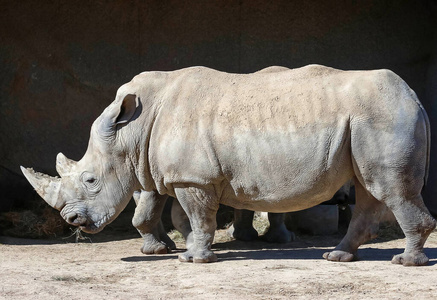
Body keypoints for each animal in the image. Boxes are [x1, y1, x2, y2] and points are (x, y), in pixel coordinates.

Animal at [22, 65, 434, 264]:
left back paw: (404, 262)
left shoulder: (194, 179)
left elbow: (199, 217)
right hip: (370, 119)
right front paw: (183, 250)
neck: (131, 131)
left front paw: (193, 259)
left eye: (90, 180)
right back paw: (339, 257)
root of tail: (415, 96)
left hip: (382, 115)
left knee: (390, 190)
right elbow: (182, 215)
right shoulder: (178, 174)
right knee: (369, 191)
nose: (72, 221)